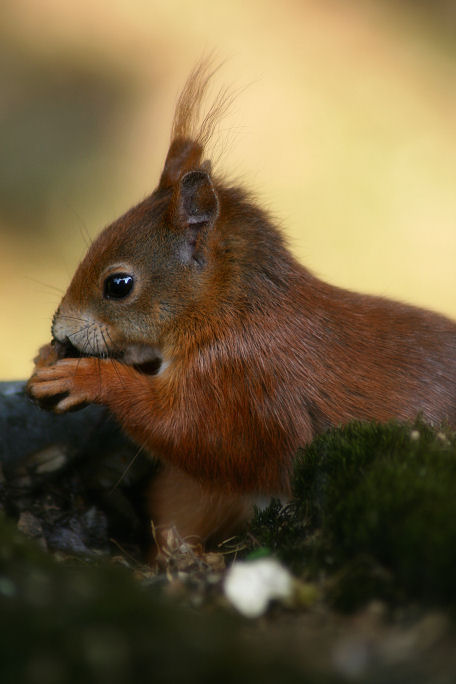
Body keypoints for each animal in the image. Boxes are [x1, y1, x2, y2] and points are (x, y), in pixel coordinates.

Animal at [25, 61, 456, 548]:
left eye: (119, 284)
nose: (58, 329)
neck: (229, 311)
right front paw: (45, 359)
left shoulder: (243, 382)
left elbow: (197, 437)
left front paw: (87, 377)